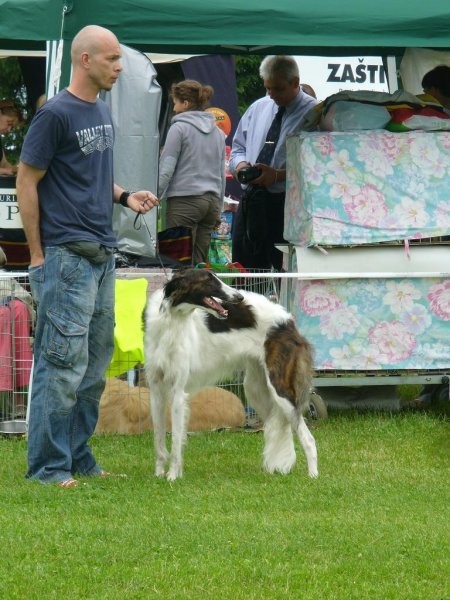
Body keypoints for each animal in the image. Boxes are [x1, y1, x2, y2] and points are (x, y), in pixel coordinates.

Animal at [143, 270, 316, 480]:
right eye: (208, 280)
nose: (239, 297)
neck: (172, 320)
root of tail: (287, 319)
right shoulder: (156, 391)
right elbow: (158, 439)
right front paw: (159, 473)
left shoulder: (178, 392)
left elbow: (176, 440)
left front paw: (173, 476)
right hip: (256, 390)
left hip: (280, 388)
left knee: (308, 438)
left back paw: (313, 475)